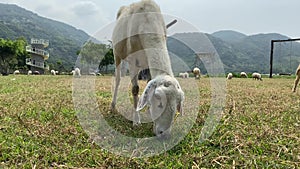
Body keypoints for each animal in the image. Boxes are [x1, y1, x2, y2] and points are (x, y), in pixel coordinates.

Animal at [111, 0, 184, 139]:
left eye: (177, 103)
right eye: (159, 101)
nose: (164, 134)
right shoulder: (133, 61)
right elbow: (135, 89)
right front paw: (136, 121)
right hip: (117, 53)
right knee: (117, 79)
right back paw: (113, 105)